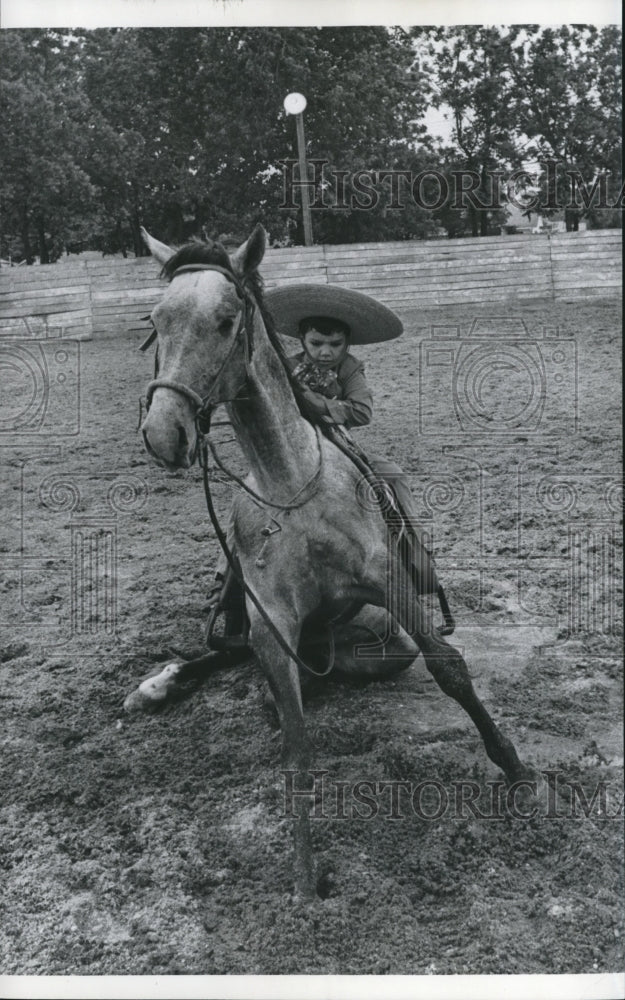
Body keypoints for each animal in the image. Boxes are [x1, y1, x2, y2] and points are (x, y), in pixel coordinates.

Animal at [125, 225, 536, 900]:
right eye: (155, 322)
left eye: (226, 319)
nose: (163, 433)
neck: (293, 486)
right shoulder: (271, 627)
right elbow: (295, 746)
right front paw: (305, 878)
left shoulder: (389, 583)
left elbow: (449, 668)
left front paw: (518, 770)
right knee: (229, 654)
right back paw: (160, 684)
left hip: (373, 643)